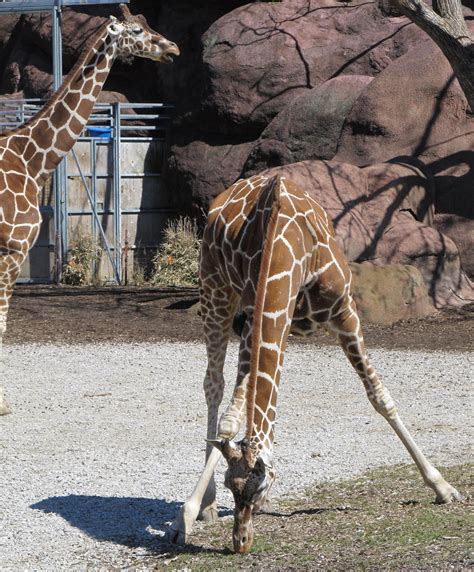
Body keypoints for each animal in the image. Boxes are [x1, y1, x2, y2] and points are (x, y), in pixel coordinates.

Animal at [170, 174, 462, 556]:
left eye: (259, 486)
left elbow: (379, 396)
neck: (290, 253)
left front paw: (443, 487)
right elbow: (231, 421)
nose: (241, 542)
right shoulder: (254, 320)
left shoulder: (343, 312)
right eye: (232, 486)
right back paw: (205, 505)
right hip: (214, 287)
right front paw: (184, 517)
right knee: (214, 385)